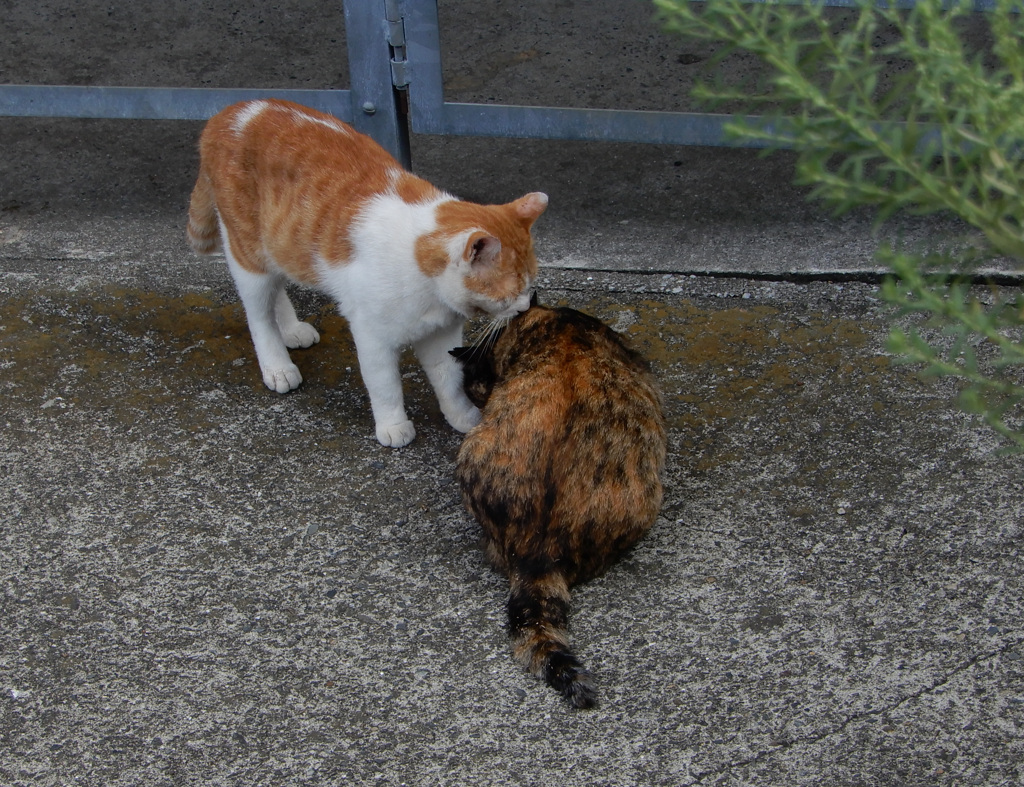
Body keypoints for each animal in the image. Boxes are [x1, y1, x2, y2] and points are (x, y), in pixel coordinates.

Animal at [188, 96, 548, 448]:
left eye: (530, 285)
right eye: (511, 292)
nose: (524, 306)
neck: (430, 289)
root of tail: (229, 111)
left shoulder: (440, 334)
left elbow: (449, 380)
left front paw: (461, 416)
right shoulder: (372, 336)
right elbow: (384, 385)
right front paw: (393, 425)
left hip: (283, 247)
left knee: (277, 290)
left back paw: (290, 329)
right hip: (249, 254)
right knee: (259, 313)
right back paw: (277, 365)